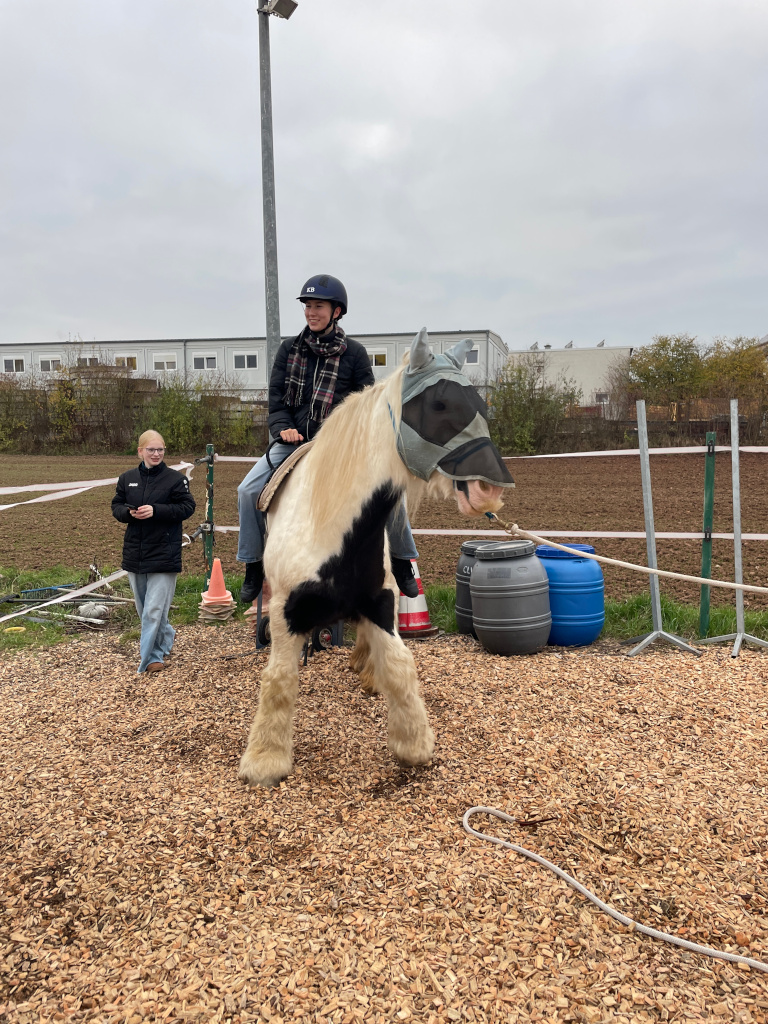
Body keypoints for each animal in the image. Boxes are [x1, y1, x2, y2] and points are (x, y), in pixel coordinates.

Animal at [239, 329, 518, 790]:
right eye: (439, 405)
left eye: (480, 405)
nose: (491, 489)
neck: (329, 526)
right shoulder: (285, 612)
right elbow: (279, 679)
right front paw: (265, 760)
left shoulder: (382, 605)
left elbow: (401, 666)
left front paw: (413, 744)